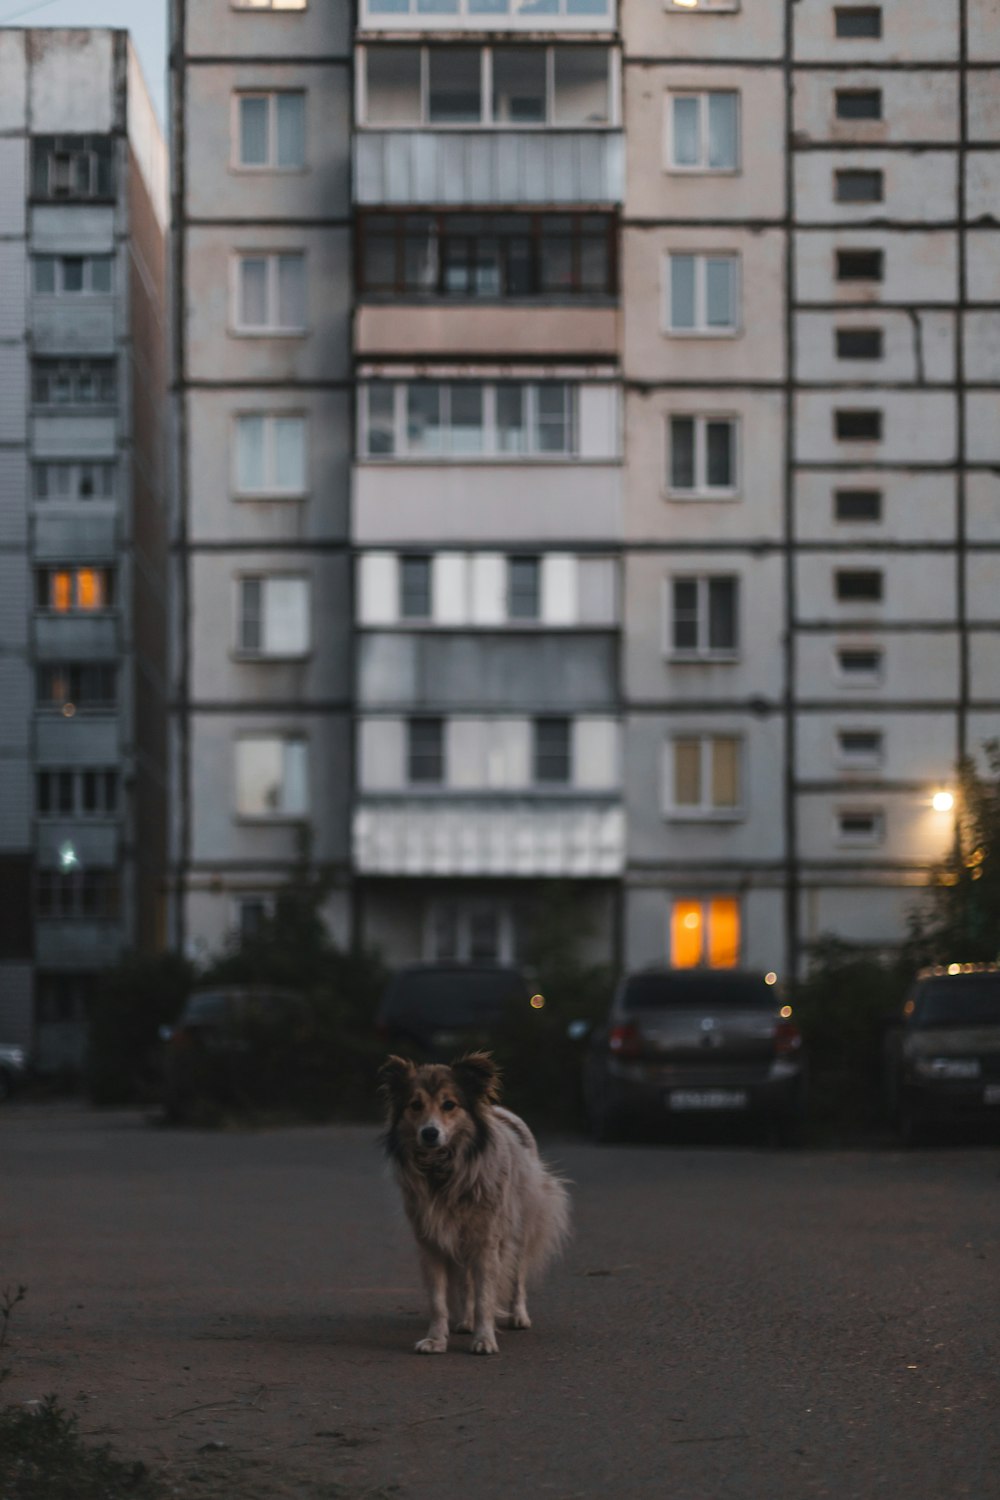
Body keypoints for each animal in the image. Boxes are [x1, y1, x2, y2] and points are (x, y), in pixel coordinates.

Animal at [379, 1050, 569, 1356]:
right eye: (415, 1105)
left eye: (449, 1105)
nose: (429, 1133)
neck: (445, 1167)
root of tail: (500, 1111)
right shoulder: (431, 1242)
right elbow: (439, 1299)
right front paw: (436, 1339)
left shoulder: (487, 1241)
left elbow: (485, 1295)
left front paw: (484, 1339)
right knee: (465, 1282)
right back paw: (465, 1321)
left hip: (522, 1224)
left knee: (517, 1276)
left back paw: (518, 1316)